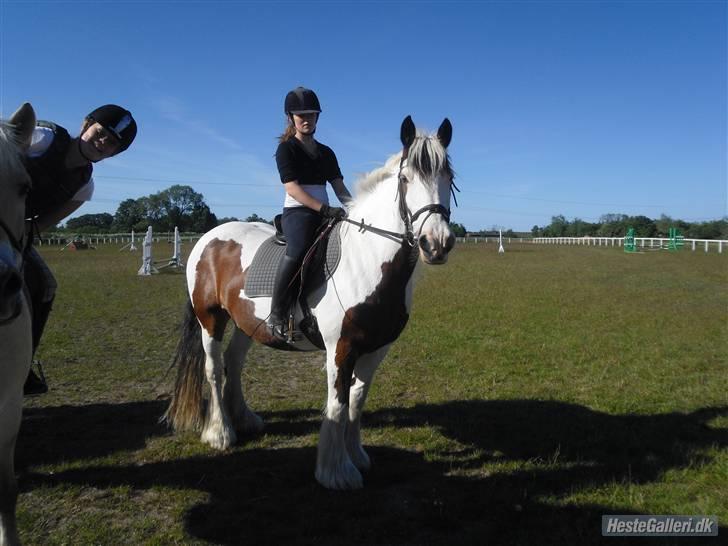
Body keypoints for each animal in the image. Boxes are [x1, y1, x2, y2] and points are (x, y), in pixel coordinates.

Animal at [168, 116, 458, 488]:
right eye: (405, 179)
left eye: (448, 177)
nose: (436, 244)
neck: (366, 260)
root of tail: (210, 238)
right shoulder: (341, 347)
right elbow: (337, 404)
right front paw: (336, 472)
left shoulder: (377, 348)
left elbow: (357, 401)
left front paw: (357, 456)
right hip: (211, 319)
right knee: (214, 369)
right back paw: (221, 433)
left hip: (248, 323)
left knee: (234, 362)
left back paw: (245, 419)